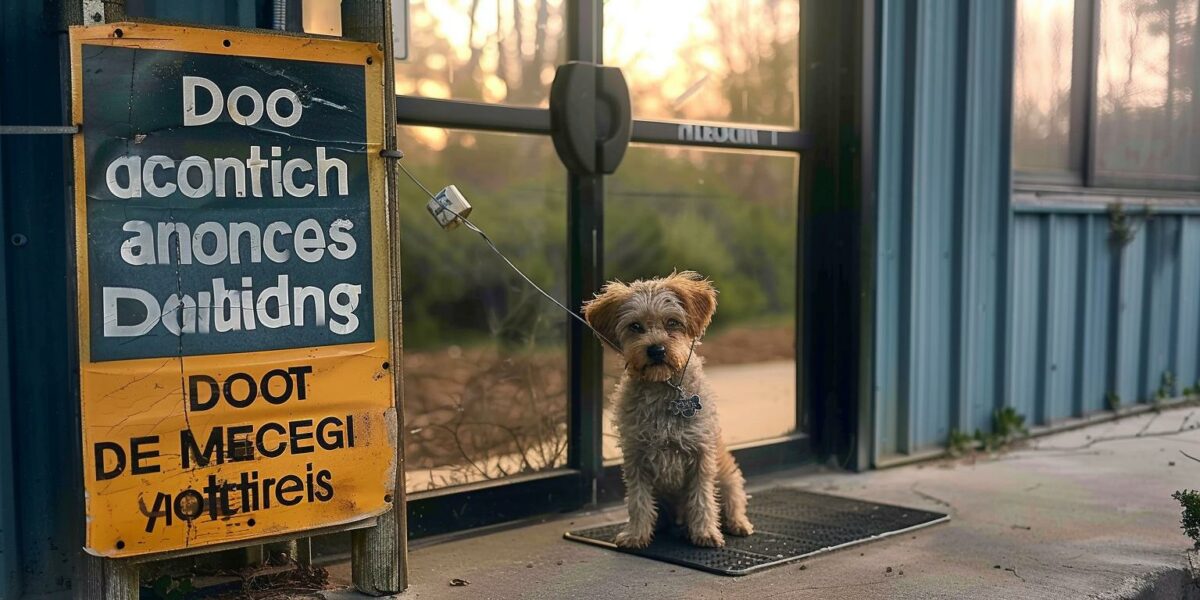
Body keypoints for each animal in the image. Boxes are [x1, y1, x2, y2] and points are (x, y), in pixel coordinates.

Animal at [580, 272, 748, 549]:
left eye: (672, 322)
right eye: (635, 326)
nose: (656, 350)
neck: (662, 387)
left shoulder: (701, 456)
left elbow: (702, 498)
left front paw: (705, 532)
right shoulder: (636, 457)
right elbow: (638, 501)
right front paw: (636, 534)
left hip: (727, 476)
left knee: (732, 501)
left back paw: (737, 524)